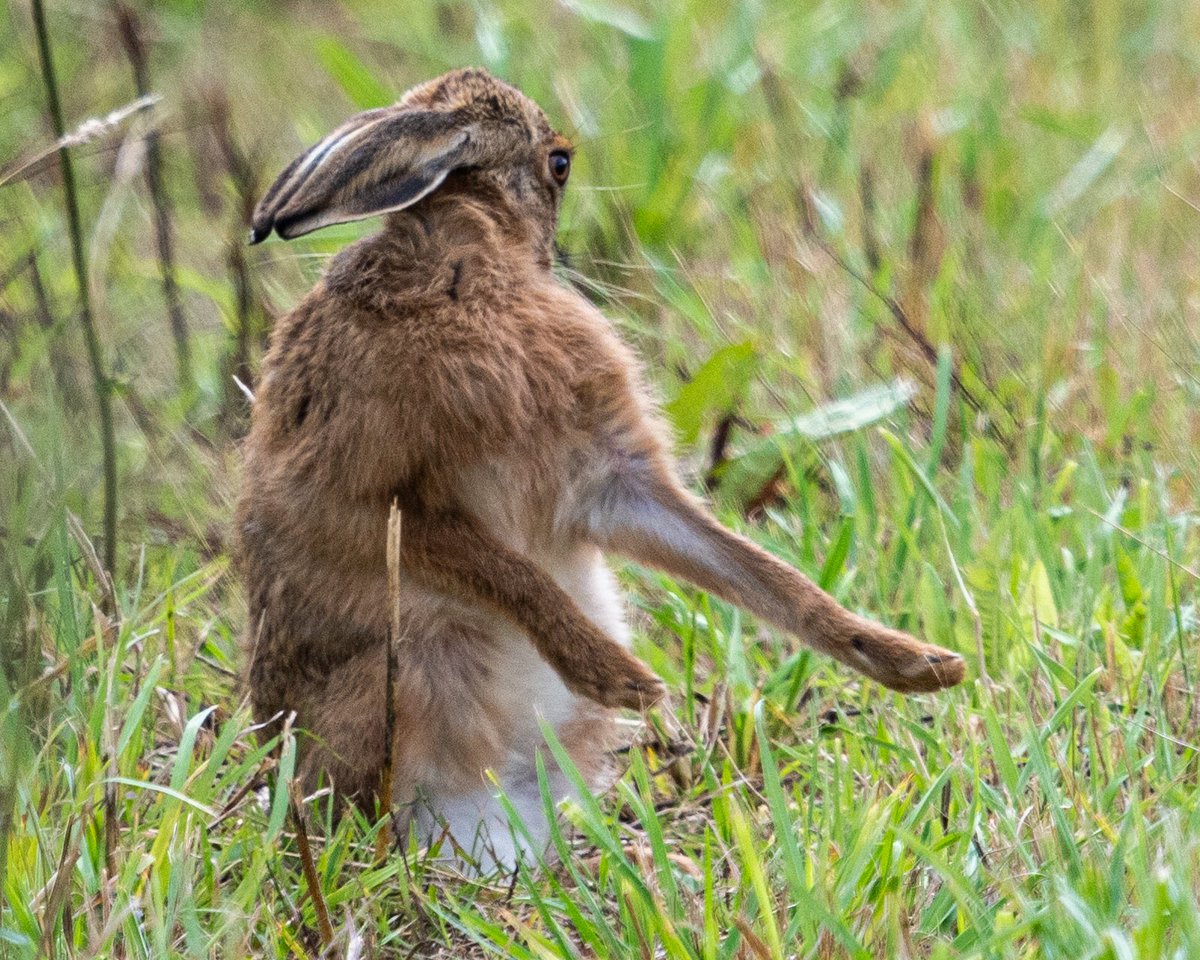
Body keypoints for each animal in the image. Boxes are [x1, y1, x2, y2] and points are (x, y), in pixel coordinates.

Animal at [237, 67, 965, 868]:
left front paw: (923, 666)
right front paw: (627, 680)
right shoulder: (368, 500)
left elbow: (770, 579)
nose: (554, 258)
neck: (467, 258)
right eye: (558, 163)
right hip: (409, 670)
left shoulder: (608, 472)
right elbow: (513, 574)